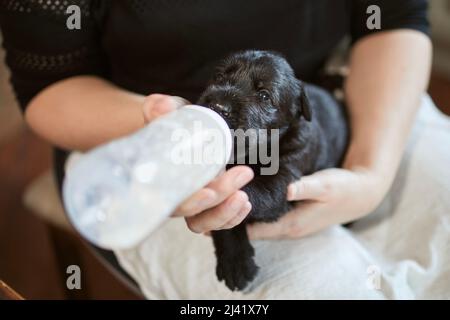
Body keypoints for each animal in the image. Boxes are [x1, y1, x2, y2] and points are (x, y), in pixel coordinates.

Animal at [197, 49, 348, 290]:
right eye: (219, 77)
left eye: (264, 96)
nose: (218, 106)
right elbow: (229, 220)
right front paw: (235, 259)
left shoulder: (284, 179)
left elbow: (247, 194)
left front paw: (236, 263)